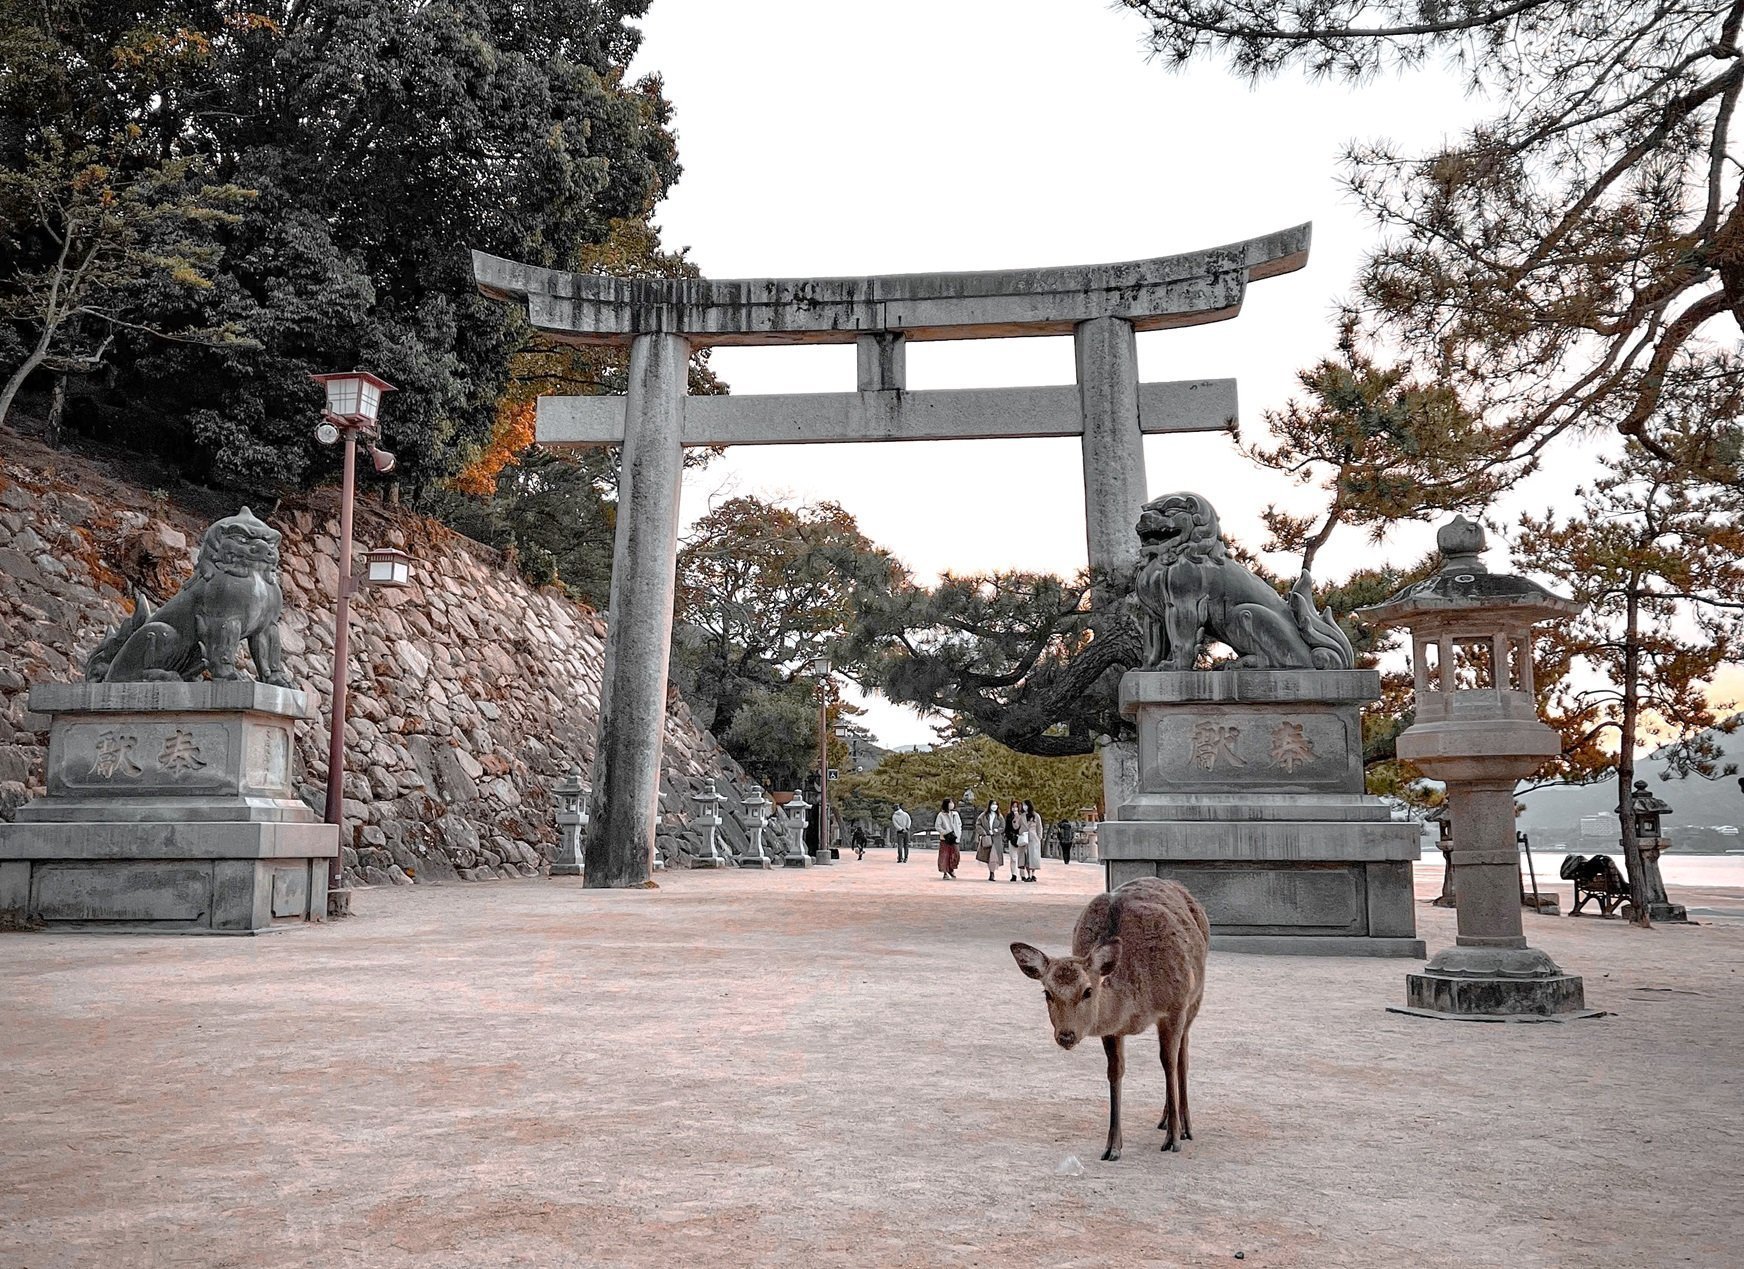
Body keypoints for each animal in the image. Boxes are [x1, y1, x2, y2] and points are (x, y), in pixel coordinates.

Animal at [1010, 877, 1210, 1161]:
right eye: (1047, 992)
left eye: (1087, 990)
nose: (1066, 1035)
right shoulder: (1111, 1030)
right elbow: (1115, 1071)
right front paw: (1112, 1146)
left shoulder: (1174, 1007)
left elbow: (1169, 1063)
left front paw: (1173, 1138)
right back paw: (1164, 1119)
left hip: (1196, 998)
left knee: (1183, 1054)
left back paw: (1184, 1125)